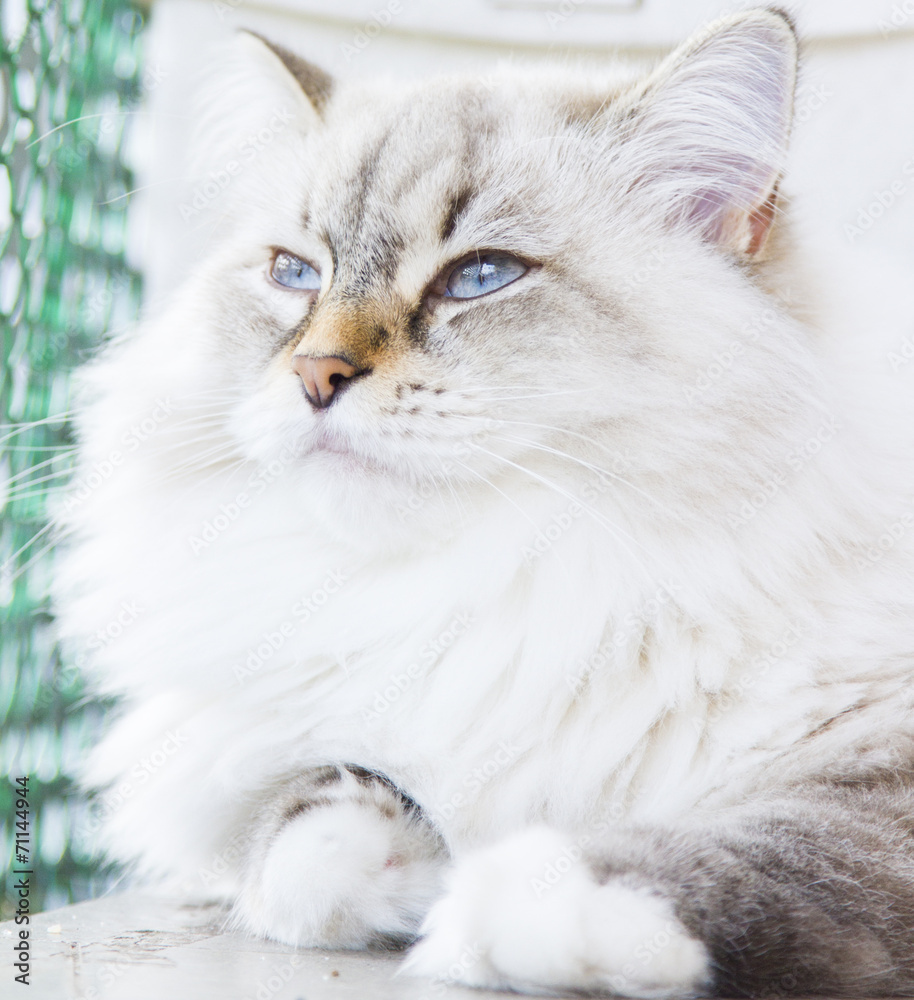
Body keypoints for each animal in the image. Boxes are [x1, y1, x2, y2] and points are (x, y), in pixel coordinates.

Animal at [55, 9, 912, 1000]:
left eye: (480, 277)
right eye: (295, 274)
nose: (315, 374)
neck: (525, 580)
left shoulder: (878, 759)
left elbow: (782, 849)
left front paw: (516, 902)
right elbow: (303, 838)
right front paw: (415, 864)